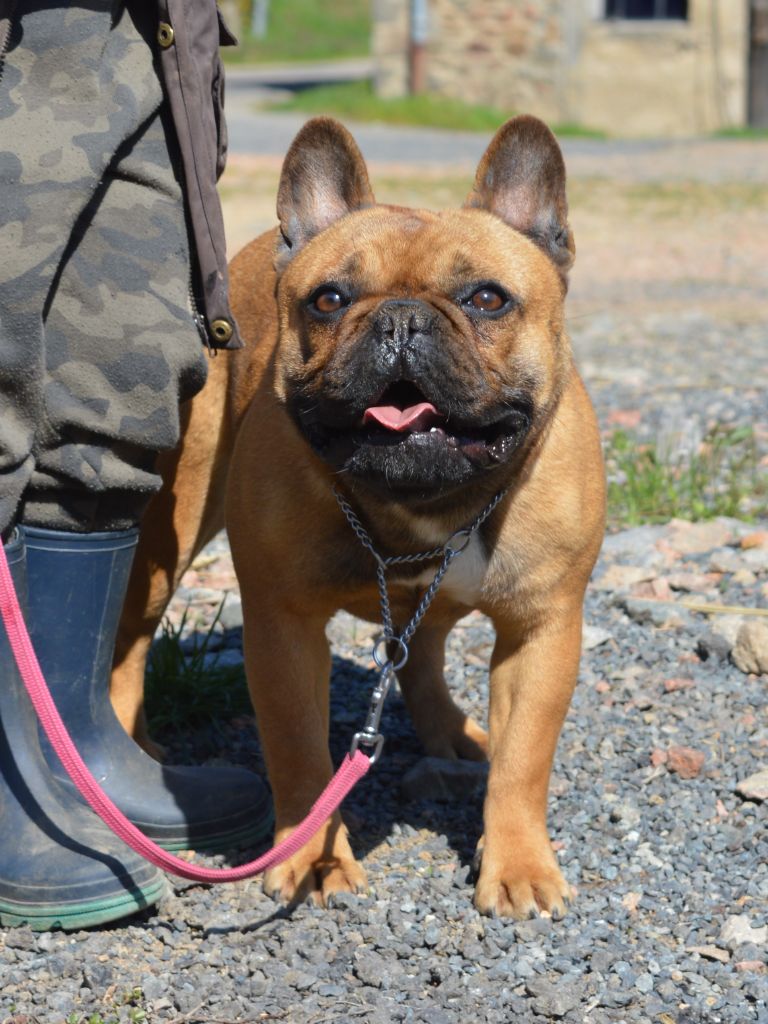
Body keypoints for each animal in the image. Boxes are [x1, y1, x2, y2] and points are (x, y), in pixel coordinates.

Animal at [112, 116, 605, 919]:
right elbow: (300, 752)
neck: (422, 502)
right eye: (329, 299)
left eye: (488, 299)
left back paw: (454, 735)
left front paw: (520, 865)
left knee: (423, 648)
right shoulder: (283, 627)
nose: (399, 320)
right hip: (171, 529)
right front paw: (312, 858)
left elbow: (524, 761)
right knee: (128, 642)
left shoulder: (543, 629)